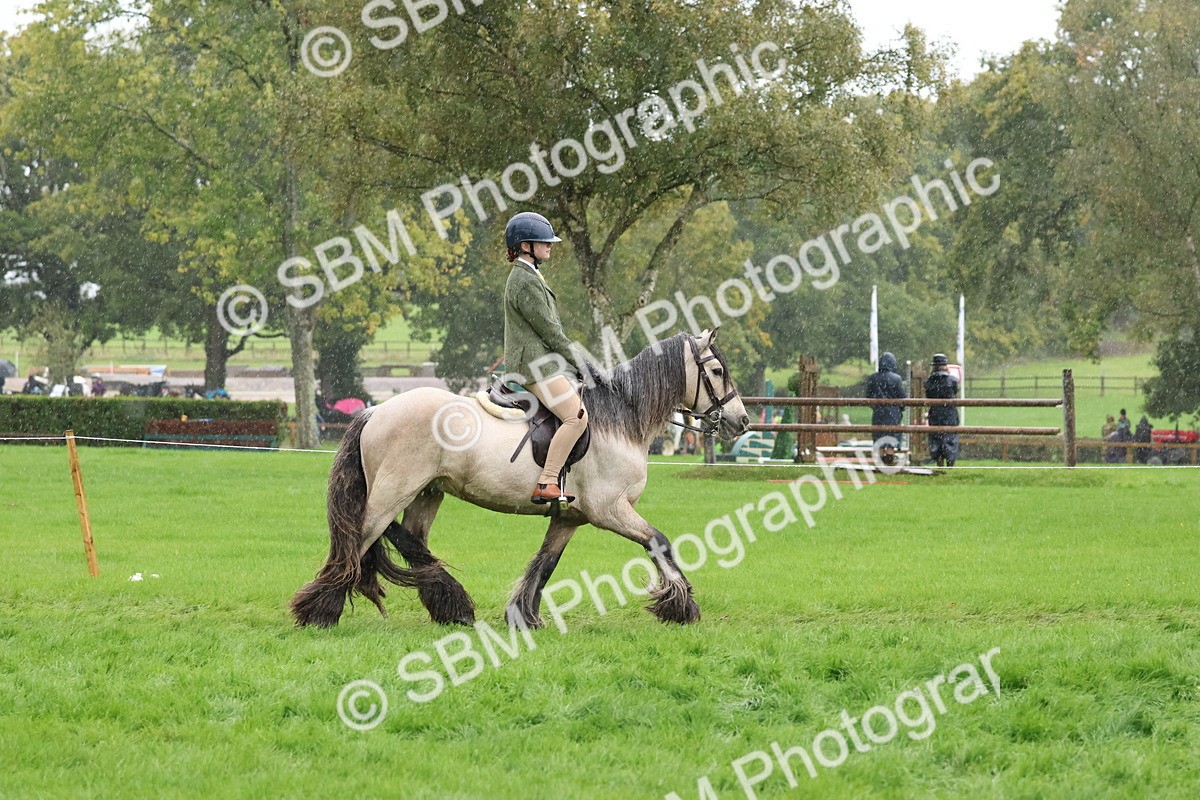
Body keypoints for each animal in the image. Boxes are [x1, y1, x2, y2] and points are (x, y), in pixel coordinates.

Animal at [290, 328, 751, 629]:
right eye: (717, 372)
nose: (741, 421)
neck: (622, 418)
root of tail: (375, 410)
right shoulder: (609, 510)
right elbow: (659, 542)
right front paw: (680, 606)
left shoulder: (570, 518)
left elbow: (544, 564)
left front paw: (523, 616)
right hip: (392, 492)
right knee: (361, 539)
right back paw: (319, 612)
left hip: (427, 493)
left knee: (411, 541)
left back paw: (451, 606)